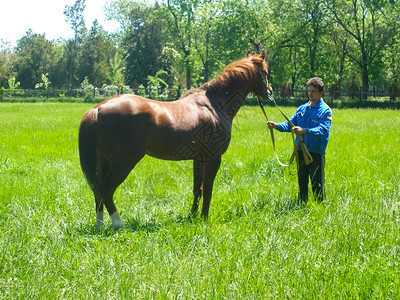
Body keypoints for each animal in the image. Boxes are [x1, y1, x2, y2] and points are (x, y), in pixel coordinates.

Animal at [78, 51, 272, 231]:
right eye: (266, 72)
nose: (269, 92)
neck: (214, 106)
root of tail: (98, 109)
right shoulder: (213, 158)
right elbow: (208, 190)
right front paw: (204, 219)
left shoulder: (199, 159)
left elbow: (197, 189)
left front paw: (192, 217)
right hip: (123, 162)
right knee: (106, 189)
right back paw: (118, 224)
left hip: (104, 162)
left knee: (98, 190)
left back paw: (100, 225)